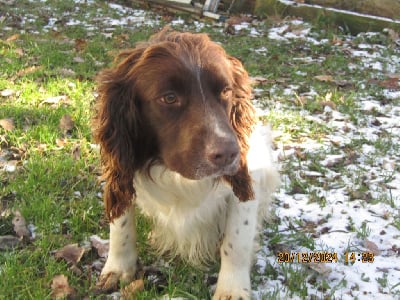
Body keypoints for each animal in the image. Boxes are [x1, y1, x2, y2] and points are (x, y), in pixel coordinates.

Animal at [94, 27, 280, 298]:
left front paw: (232, 288)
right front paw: (119, 267)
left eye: (225, 91)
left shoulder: (248, 179)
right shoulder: (120, 165)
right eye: (170, 98)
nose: (229, 154)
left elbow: (237, 240)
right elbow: (121, 223)